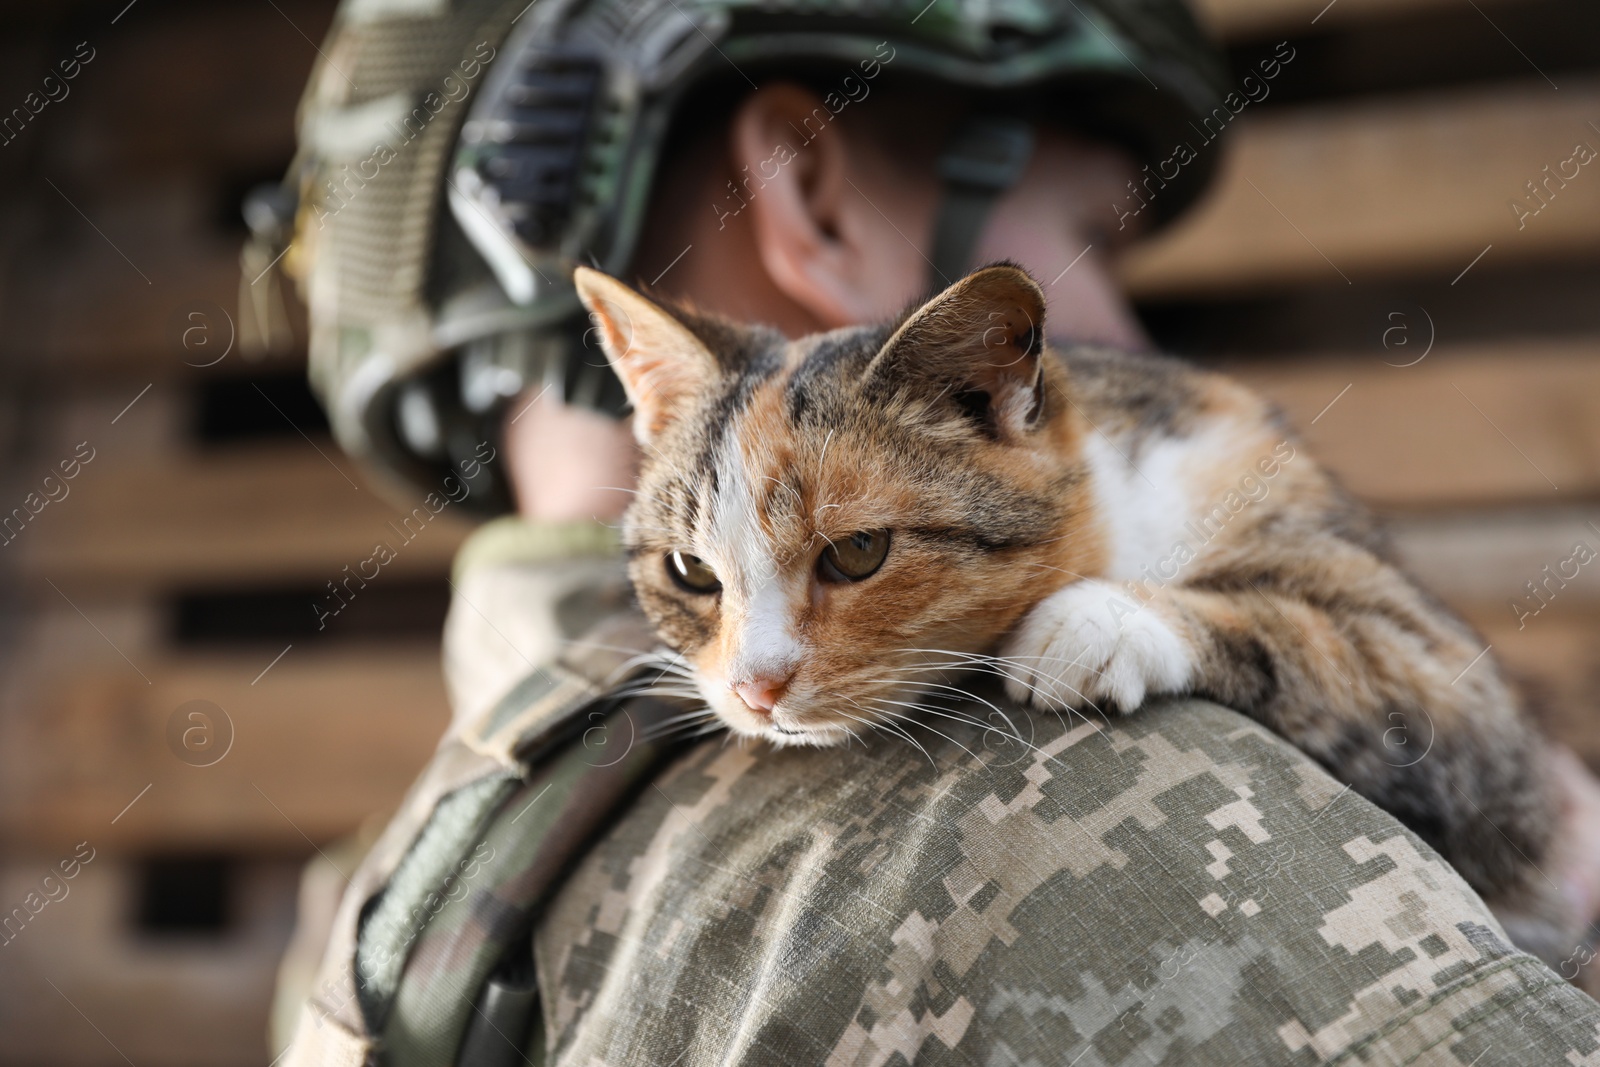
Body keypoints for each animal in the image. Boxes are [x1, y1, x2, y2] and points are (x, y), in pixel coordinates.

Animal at [572, 262, 1574, 966]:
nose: (755, 686)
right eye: (690, 571)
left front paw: (1091, 623)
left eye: (857, 552)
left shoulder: (1464, 709)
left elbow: (1318, 633)